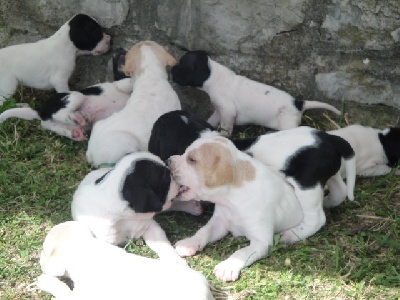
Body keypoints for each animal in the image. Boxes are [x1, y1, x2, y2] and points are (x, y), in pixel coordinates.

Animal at [37, 220, 216, 300]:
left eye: (44, 252)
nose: (39, 259)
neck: (88, 249)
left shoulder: (80, 297)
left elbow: (61, 289)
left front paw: (44, 280)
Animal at [168, 131, 304, 282]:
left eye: (192, 160)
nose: (168, 161)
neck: (231, 201)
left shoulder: (261, 241)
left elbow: (241, 252)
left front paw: (227, 267)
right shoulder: (219, 222)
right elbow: (204, 231)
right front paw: (189, 243)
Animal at [171, 50, 340, 135]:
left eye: (181, 66)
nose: (171, 70)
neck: (212, 73)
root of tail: (299, 103)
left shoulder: (228, 112)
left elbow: (226, 129)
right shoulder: (219, 111)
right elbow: (211, 120)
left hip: (288, 124)